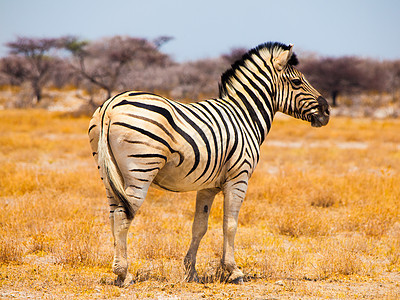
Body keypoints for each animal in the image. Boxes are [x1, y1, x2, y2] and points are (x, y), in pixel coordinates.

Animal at [89, 41, 330, 288]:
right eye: (297, 82)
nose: (327, 111)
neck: (245, 116)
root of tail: (111, 105)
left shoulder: (208, 186)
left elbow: (199, 227)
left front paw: (190, 272)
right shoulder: (239, 177)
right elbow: (230, 224)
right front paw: (234, 270)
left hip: (108, 174)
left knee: (113, 214)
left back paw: (119, 270)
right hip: (140, 170)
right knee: (122, 215)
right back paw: (123, 273)